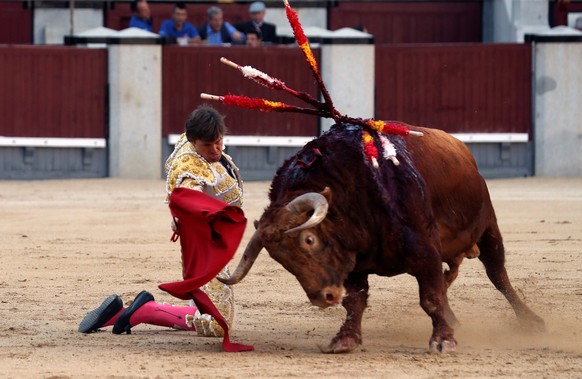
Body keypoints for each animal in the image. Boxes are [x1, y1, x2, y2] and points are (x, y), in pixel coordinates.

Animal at [222, 123, 548, 354]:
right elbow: (355, 301)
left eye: (309, 240)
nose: (323, 297)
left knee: (498, 274)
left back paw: (531, 321)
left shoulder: (424, 251)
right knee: (451, 277)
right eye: (280, 259)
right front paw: (345, 339)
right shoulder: (353, 263)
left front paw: (443, 341)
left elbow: (431, 298)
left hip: (488, 227)